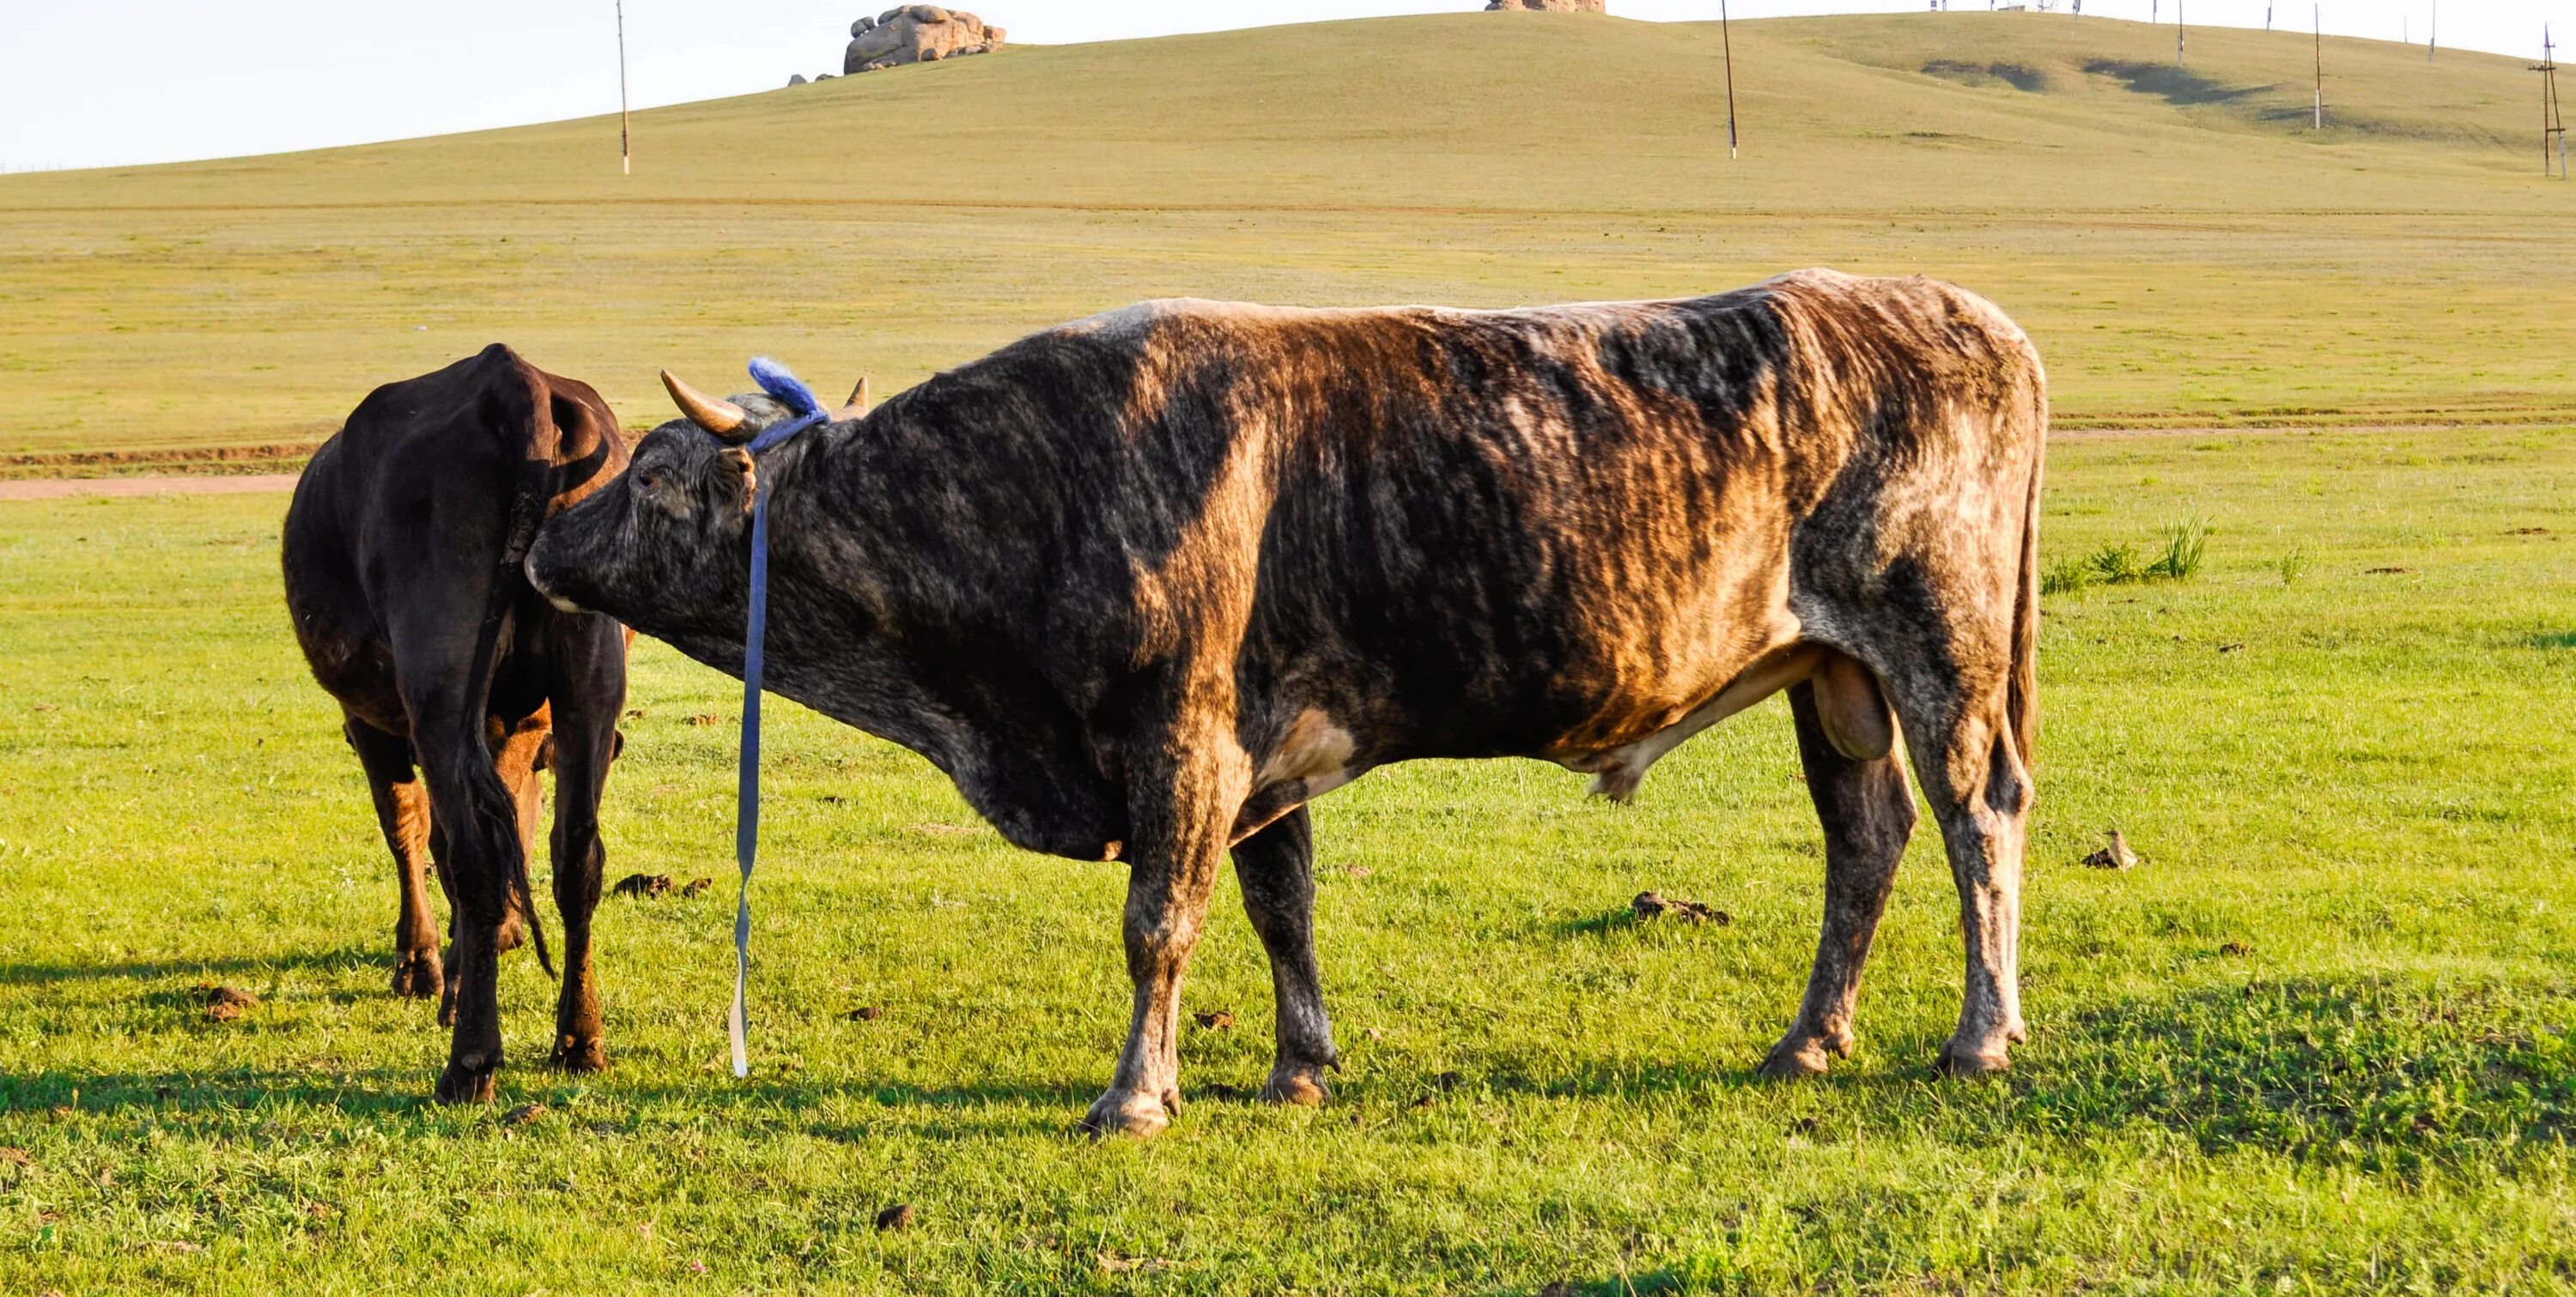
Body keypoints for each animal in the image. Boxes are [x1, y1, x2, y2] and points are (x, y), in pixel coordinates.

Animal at [283, 342, 634, 1096]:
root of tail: (513, 379)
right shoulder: (519, 729)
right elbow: (512, 830)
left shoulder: (374, 725)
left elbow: (411, 830)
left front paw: (422, 965)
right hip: (589, 676)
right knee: (576, 854)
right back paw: (578, 1038)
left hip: (439, 689)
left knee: (471, 855)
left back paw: (471, 1058)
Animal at [528, 269, 2050, 1132]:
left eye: (653, 471)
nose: (543, 532)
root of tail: (1964, 312)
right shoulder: (1259, 748)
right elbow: (1281, 909)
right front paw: (1298, 1064)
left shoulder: (1183, 735)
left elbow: (1160, 924)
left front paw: (1136, 1093)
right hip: (1830, 676)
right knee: (1868, 838)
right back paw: (1808, 1039)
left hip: (1942, 645)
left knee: (1977, 816)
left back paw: (1980, 1034)